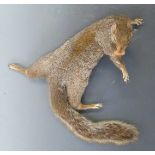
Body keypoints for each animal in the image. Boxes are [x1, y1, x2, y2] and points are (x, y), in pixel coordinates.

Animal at [9, 15, 143, 145]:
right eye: (114, 39)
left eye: (129, 40)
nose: (121, 52)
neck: (111, 25)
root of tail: (54, 77)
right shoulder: (106, 44)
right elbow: (114, 58)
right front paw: (124, 70)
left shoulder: (119, 18)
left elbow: (129, 20)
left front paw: (135, 21)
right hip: (77, 83)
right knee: (74, 103)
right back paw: (90, 105)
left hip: (44, 63)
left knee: (31, 74)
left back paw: (20, 69)